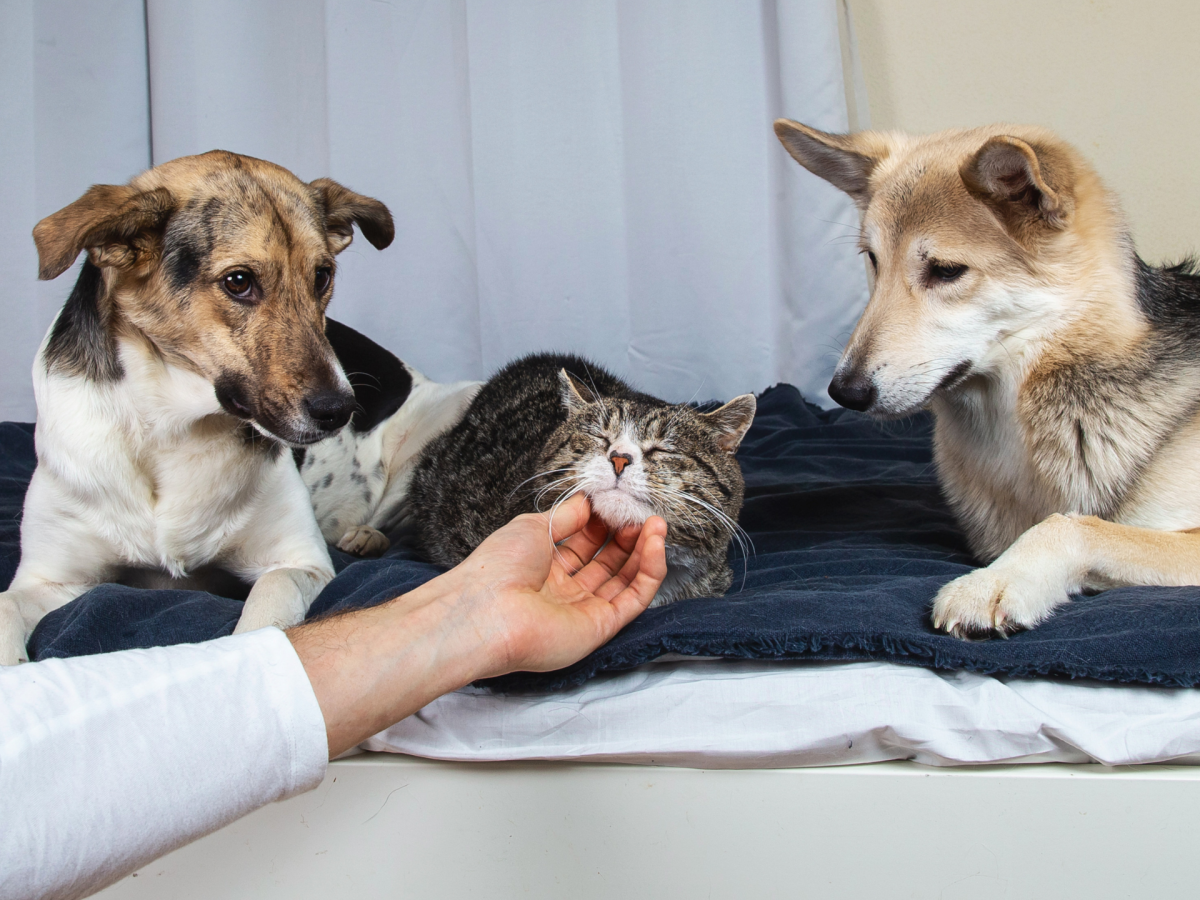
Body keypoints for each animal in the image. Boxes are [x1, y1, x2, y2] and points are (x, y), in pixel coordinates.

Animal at [0, 151, 391, 667]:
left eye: (322, 276)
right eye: (239, 281)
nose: (340, 409)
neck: (171, 426)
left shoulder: (297, 561)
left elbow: (270, 604)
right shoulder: (51, 578)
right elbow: (5, 605)